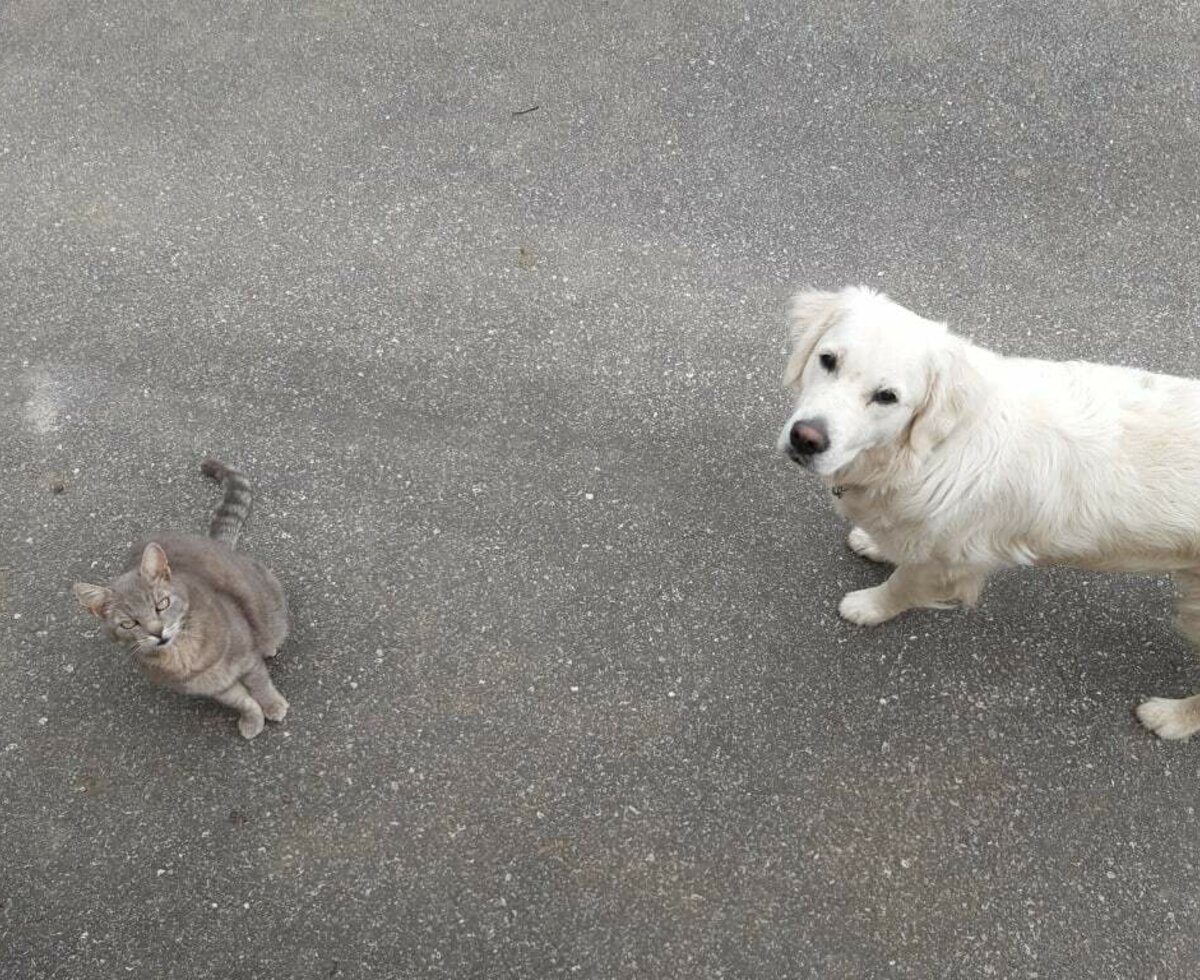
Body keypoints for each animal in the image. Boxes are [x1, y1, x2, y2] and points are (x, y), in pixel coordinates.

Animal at [75, 458, 290, 734]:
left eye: (161, 605)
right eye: (129, 623)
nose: (157, 632)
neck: (184, 657)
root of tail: (216, 544)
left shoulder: (246, 659)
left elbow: (260, 685)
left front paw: (273, 705)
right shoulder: (216, 686)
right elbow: (242, 701)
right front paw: (252, 719)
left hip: (270, 609)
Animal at [782, 286, 1200, 738]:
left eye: (887, 397)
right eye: (827, 360)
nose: (806, 438)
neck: (929, 450)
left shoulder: (949, 560)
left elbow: (901, 585)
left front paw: (869, 607)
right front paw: (876, 543)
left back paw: (1170, 717)